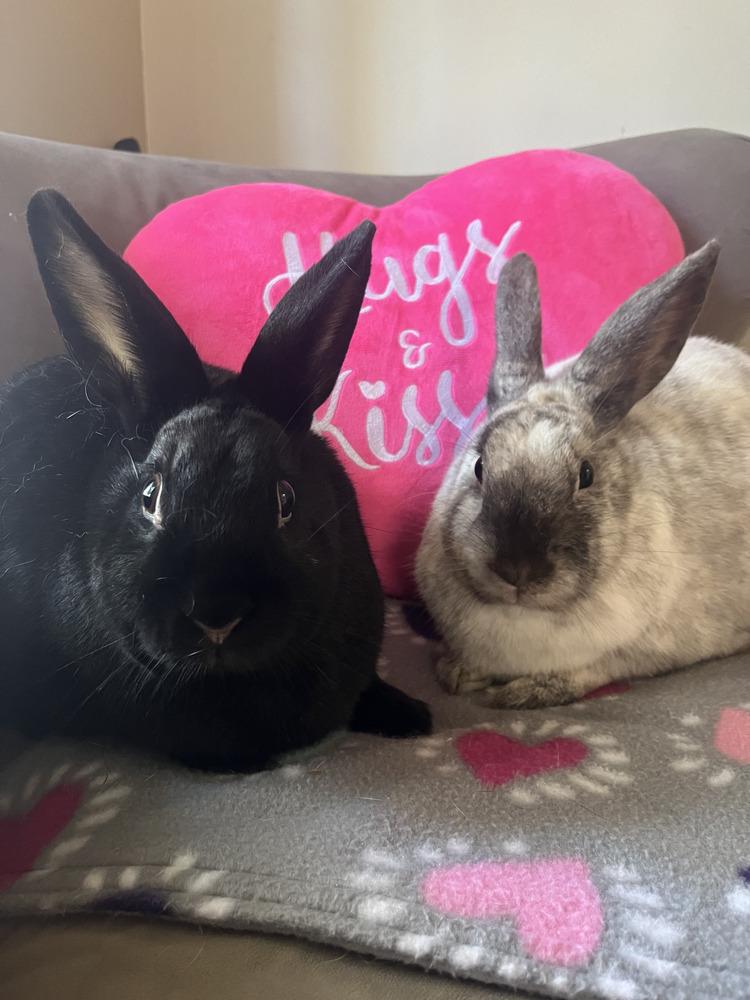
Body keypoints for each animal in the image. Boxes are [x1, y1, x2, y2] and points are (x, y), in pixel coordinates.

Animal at [416, 241, 750, 709]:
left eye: (586, 475)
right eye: (480, 466)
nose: (518, 570)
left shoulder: (637, 652)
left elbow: (591, 671)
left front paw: (523, 693)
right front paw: (457, 673)